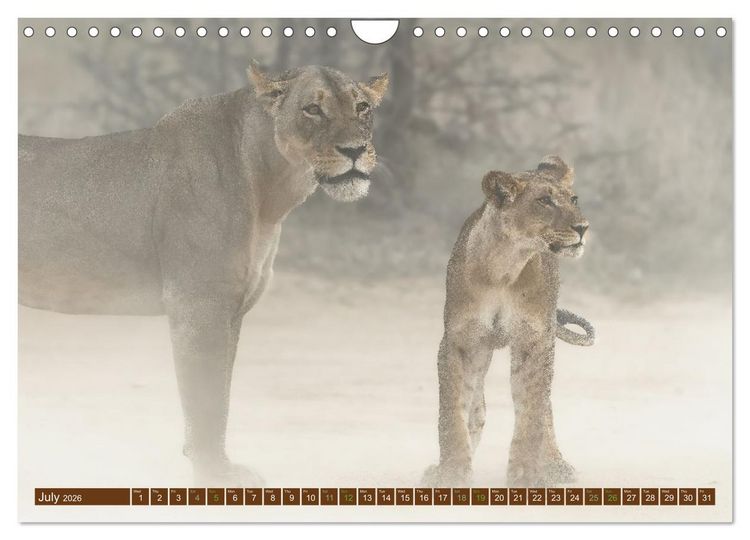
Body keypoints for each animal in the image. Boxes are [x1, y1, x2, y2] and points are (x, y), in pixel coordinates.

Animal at [19, 61, 389, 485]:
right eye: (312, 109)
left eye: (361, 107)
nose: (355, 150)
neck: (269, 192)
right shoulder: (198, 306)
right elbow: (207, 400)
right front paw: (214, 474)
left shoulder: (231, 310)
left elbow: (221, 394)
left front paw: (215, 465)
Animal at [422, 156, 595, 488]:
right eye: (544, 201)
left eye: (574, 199)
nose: (583, 227)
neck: (505, 266)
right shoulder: (459, 341)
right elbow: (452, 411)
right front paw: (451, 473)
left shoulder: (535, 340)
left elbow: (532, 414)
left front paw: (527, 474)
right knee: (477, 407)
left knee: (544, 406)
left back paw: (556, 465)